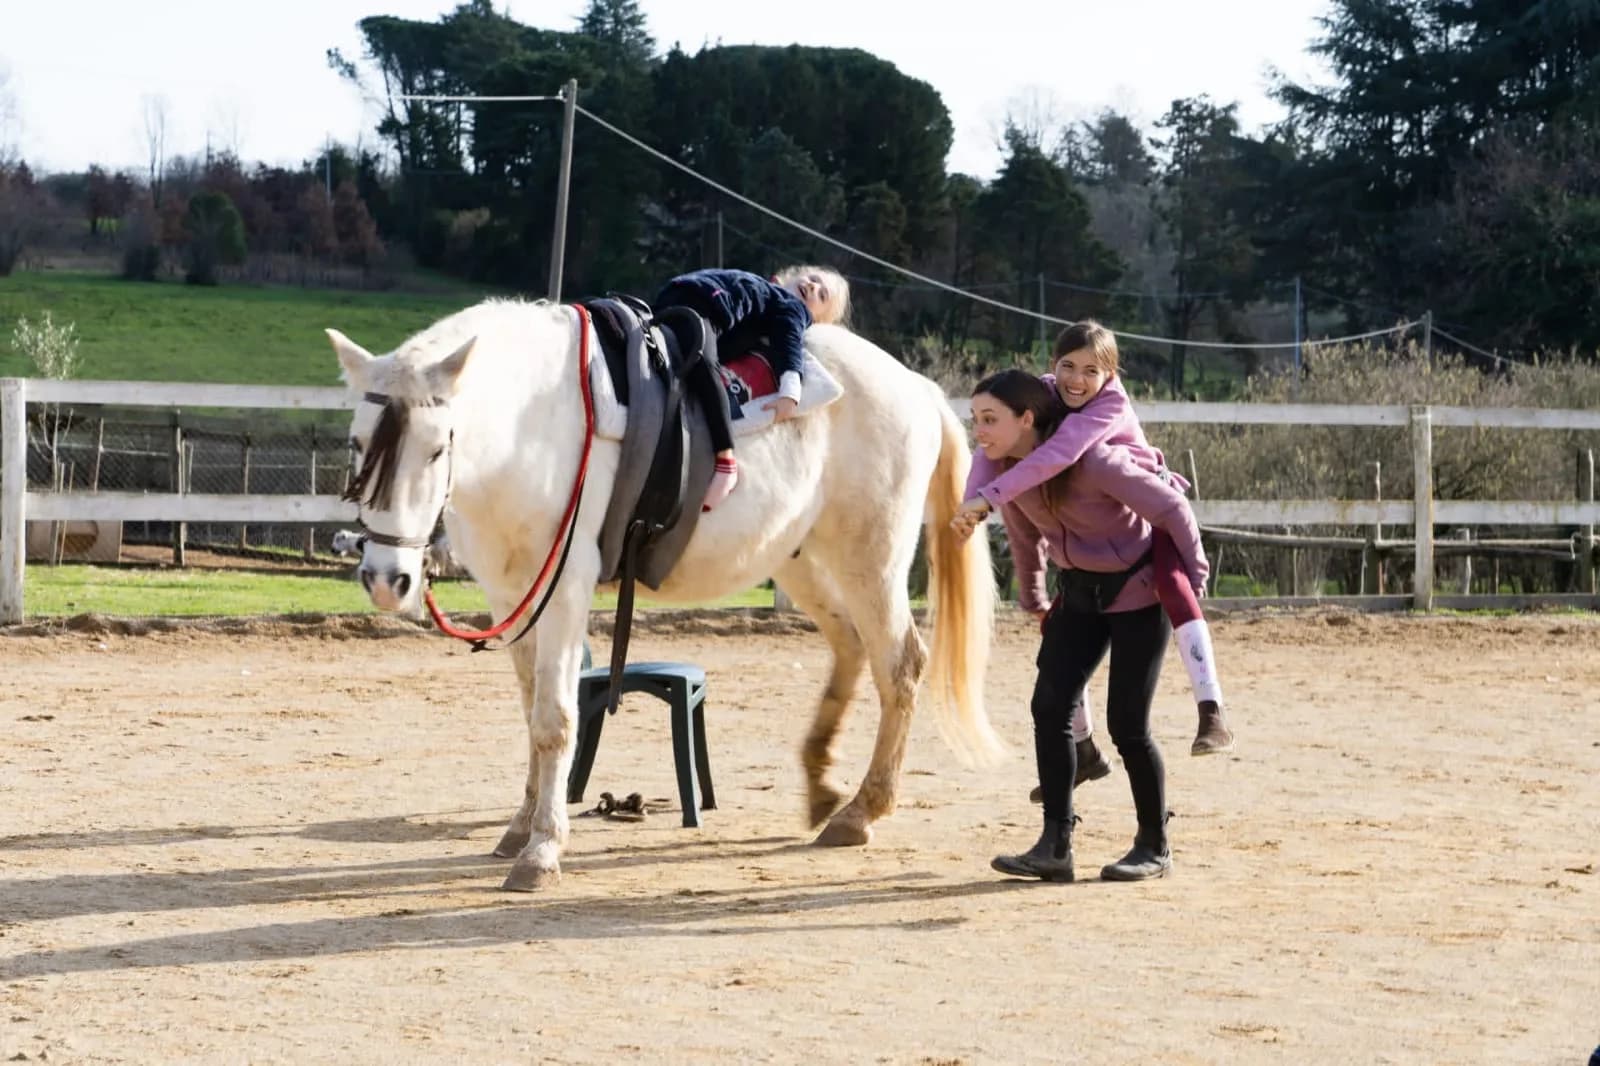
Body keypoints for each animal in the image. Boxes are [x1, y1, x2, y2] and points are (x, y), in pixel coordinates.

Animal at [328, 299, 1001, 891]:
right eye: (357, 444)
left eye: (437, 447)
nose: (387, 580)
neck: (533, 430)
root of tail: (916, 386)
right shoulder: (511, 597)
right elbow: (531, 714)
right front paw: (522, 826)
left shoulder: (563, 592)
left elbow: (554, 720)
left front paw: (542, 850)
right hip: (802, 563)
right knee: (851, 647)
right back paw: (822, 788)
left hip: (869, 561)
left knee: (899, 665)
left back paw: (862, 811)